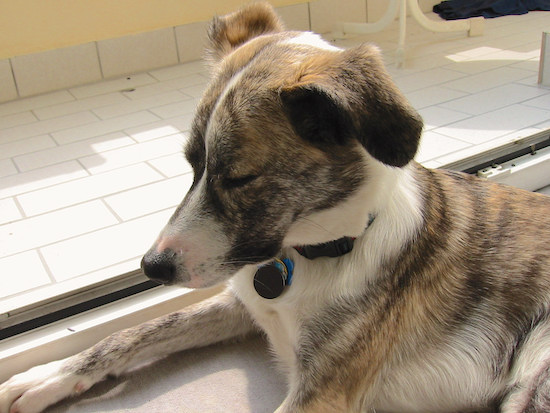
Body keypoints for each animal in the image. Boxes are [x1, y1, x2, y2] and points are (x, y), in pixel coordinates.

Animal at [1, 3, 550, 412]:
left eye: (239, 177)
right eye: (192, 164)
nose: (151, 267)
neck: (307, 256)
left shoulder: (322, 394)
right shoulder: (239, 296)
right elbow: (134, 332)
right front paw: (49, 375)